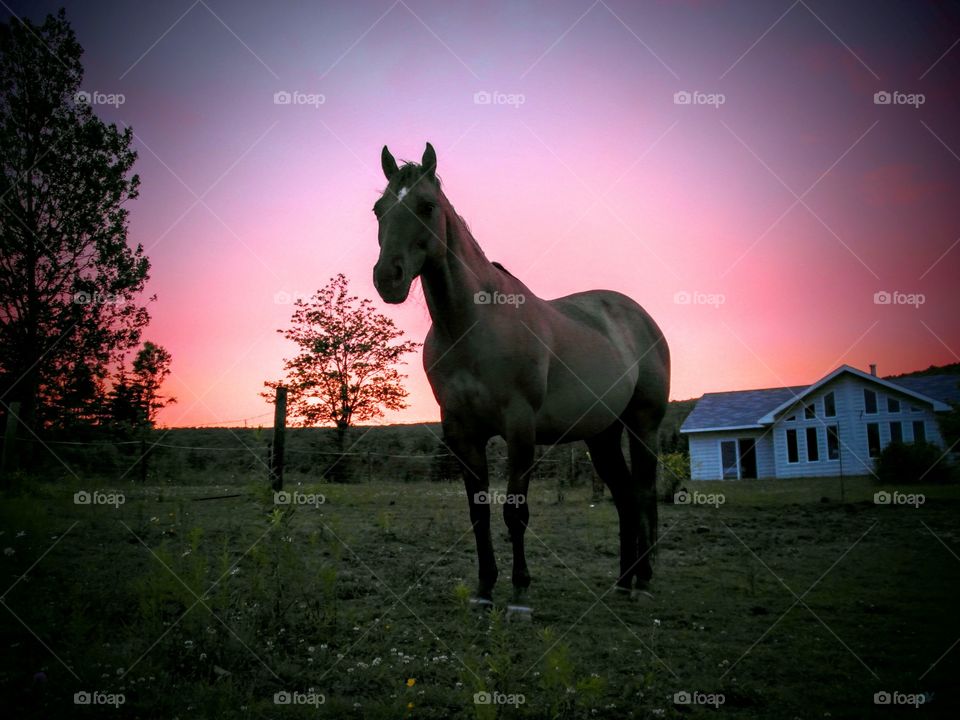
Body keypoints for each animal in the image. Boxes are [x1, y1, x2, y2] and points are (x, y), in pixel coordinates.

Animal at [372, 142, 672, 612]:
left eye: (426, 206)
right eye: (378, 209)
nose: (388, 278)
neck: (471, 326)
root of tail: (641, 318)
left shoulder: (520, 427)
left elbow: (515, 510)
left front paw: (519, 594)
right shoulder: (461, 430)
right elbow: (478, 510)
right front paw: (484, 591)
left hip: (643, 425)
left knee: (641, 494)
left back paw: (642, 581)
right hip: (602, 435)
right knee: (624, 498)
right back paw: (623, 582)